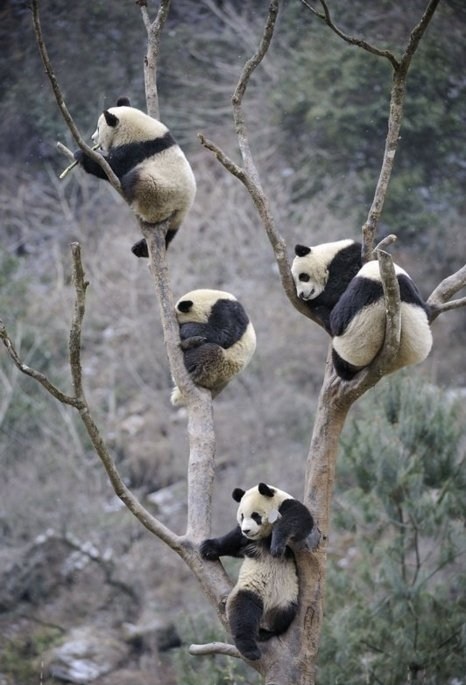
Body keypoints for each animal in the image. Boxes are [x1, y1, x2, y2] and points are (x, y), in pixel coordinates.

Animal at [74, 97, 196, 258]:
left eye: (99, 128)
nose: (93, 139)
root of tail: (182, 207)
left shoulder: (134, 149)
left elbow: (114, 167)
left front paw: (81, 155)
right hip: (175, 216)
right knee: (170, 235)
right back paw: (141, 249)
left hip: (160, 192)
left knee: (137, 181)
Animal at [201, 482, 314, 661]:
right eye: (241, 516)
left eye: (255, 516)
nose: (247, 530)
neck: (264, 535)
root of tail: (267, 610)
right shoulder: (246, 539)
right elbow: (233, 540)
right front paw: (208, 548)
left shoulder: (287, 506)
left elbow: (299, 520)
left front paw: (277, 545)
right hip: (251, 589)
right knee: (244, 611)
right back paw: (251, 646)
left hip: (286, 598)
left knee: (282, 616)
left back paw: (263, 635)